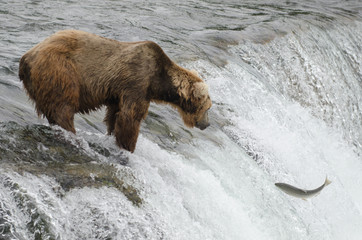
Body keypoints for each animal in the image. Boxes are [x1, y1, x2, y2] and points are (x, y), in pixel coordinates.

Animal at [19, 29, 212, 152]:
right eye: (208, 108)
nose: (207, 124)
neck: (158, 81)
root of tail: (26, 57)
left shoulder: (117, 93)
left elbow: (114, 114)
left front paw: (112, 135)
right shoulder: (137, 82)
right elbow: (130, 117)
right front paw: (128, 147)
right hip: (59, 71)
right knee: (63, 107)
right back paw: (71, 133)